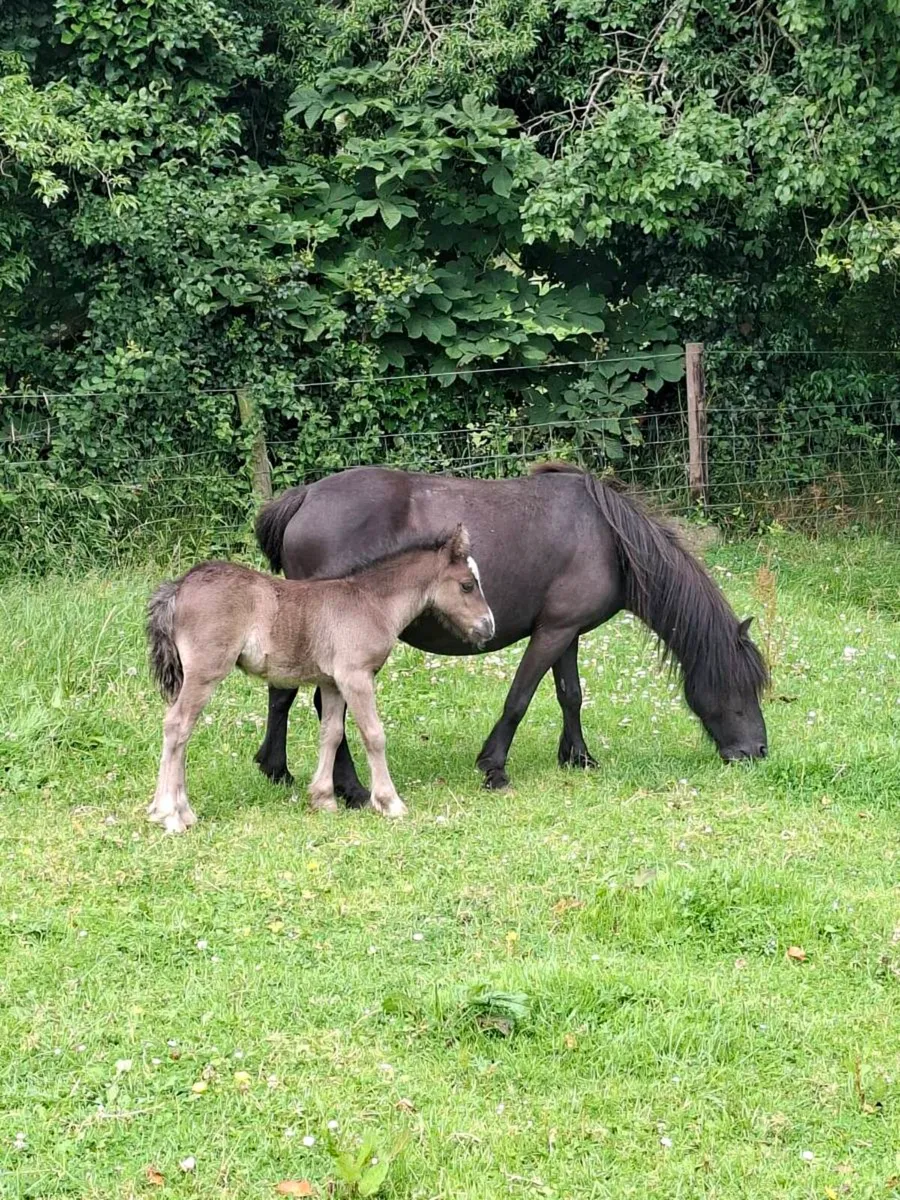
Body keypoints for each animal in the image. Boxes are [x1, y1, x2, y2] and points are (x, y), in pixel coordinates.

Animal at [145, 525, 494, 832]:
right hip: (205, 672)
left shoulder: (332, 683)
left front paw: (323, 799)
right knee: (177, 726)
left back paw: (184, 812)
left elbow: (332, 734)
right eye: (466, 584)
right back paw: (170, 815)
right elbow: (373, 734)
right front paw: (389, 802)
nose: (488, 626)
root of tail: (179, 586)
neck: (371, 604)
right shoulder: (356, 677)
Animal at [253, 463, 769, 802]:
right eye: (742, 686)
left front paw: (579, 758)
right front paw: (494, 768)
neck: (608, 539)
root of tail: (304, 497)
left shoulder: (567, 632)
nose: (757, 752)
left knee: (286, 697)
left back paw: (277, 769)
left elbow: (570, 695)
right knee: (324, 706)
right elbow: (519, 699)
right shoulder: (551, 633)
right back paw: (353, 789)